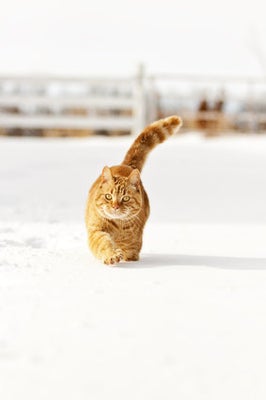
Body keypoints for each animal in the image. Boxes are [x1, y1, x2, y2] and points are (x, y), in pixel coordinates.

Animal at [86, 115, 182, 266]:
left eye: (125, 198)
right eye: (108, 196)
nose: (115, 207)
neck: (117, 226)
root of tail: (126, 166)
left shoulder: (133, 247)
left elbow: (130, 254)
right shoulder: (96, 231)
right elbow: (105, 243)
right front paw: (111, 255)